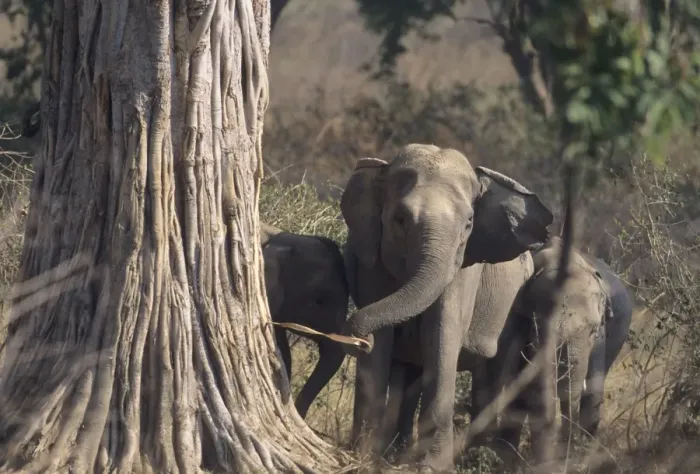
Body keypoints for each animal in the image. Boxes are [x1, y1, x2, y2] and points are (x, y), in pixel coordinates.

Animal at [339, 144, 553, 471]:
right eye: (399, 219)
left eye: (468, 224)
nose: (357, 339)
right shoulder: (370, 257)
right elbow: (385, 343)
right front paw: (363, 456)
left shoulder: (464, 266)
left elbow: (442, 332)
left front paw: (431, 466)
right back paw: (397, 452)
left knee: (494, 372)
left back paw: (480, 456)